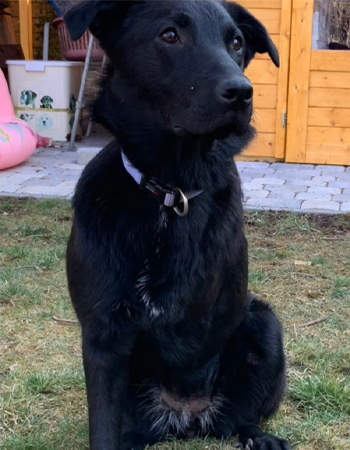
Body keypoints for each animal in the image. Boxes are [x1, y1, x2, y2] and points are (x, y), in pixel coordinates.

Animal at [64, 1, 288, 448]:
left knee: (242, 418)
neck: (171, 193)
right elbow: (103, 428)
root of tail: (185, 419)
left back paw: (258, 436)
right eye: (169, 35)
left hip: (264, 323)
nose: (243, 92)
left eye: (236, 42)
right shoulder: (103, 339)